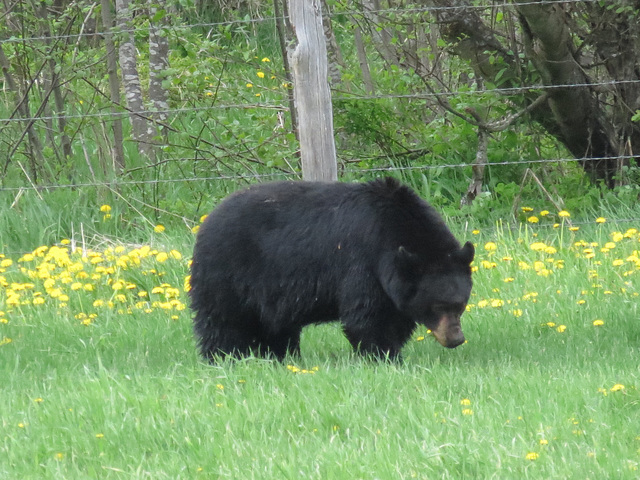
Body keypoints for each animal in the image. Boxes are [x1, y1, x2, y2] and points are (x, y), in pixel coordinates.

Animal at [188, 178, 472, 362]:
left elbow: (395, 316)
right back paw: (223, 357)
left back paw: (280, 358)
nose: (456, 339)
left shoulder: (394, 282)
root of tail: (207, 220)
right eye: (438, 305)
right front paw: (383, 356)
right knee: (223, 320)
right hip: (227, 272)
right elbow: (368, 316)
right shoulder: (362, 261)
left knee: (275, 326)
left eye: (460, 304)